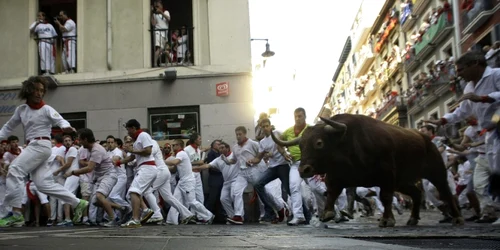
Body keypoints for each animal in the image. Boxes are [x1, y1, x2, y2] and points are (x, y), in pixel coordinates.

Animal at [274, 114, 464, 228]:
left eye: (319, 143)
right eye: (300, 145)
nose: (303, 169)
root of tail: (425, 138)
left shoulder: (387, 174)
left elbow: (385, 197)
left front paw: (387, 220)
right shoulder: (337, 176)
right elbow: (333, 193)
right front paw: (328, 213)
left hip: (436, 172)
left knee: (445, 191)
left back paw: (456, 217)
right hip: (402, 181)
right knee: (416, 193)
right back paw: (412, 219)